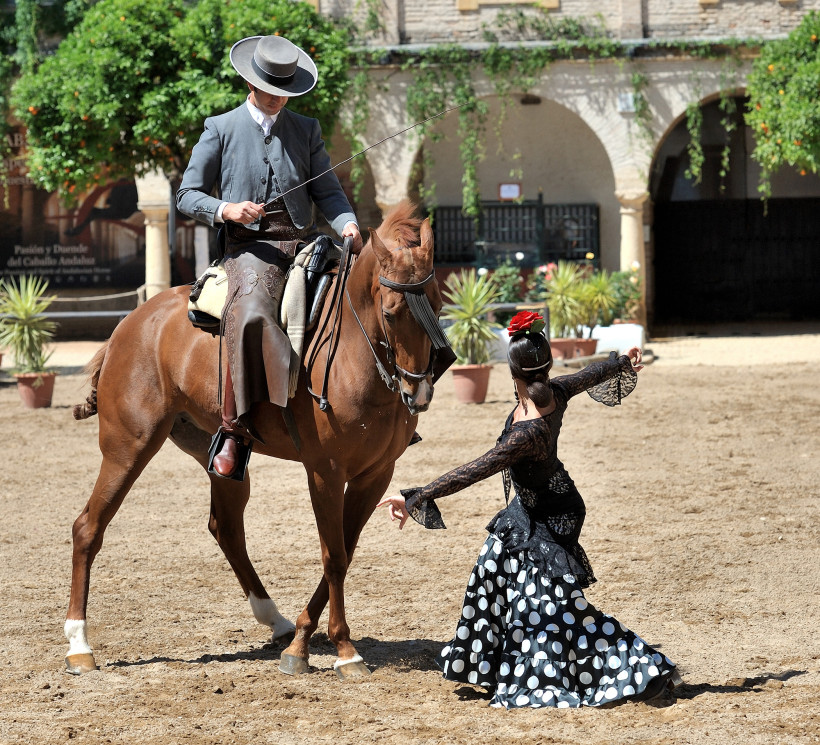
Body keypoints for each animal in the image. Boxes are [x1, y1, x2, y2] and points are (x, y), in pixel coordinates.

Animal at [65, 201, 450, 679]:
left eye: (437, 303)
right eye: (394, 311)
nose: (420, 392)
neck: (353, 354)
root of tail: (129, 325)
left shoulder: (374, 475)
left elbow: (344, 550)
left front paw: (302, 637)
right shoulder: (325, 473)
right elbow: (334, 555)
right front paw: (343, 650)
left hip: (220, 456)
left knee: (226, 528)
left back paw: (276, 620)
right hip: (128, 448)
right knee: (88, 528)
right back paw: (78, 646)